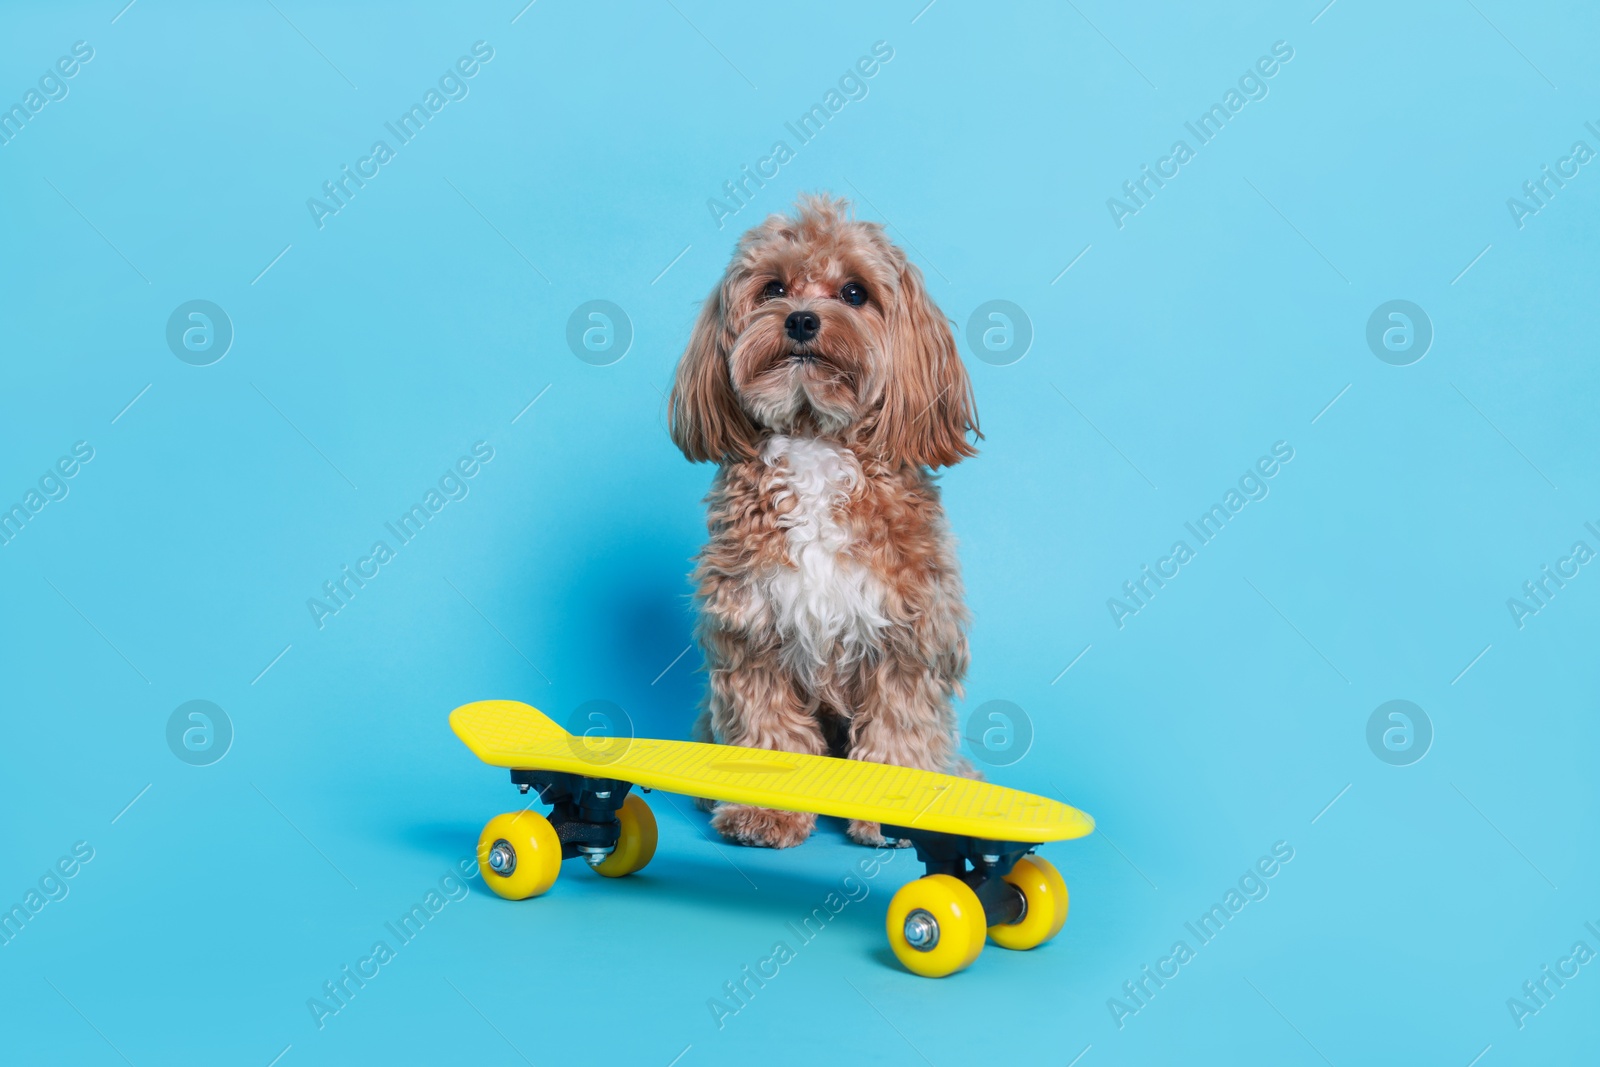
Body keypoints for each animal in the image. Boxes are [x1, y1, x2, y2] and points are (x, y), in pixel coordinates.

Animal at [668, 195, 979, 851]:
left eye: (855, 293)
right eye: (773, 288)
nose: (803, 321)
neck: (815, 439)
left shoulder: (907, 637)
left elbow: (898, 728)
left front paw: (893, 810)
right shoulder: (752, 632)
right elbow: (768, 728)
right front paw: (766, 811)